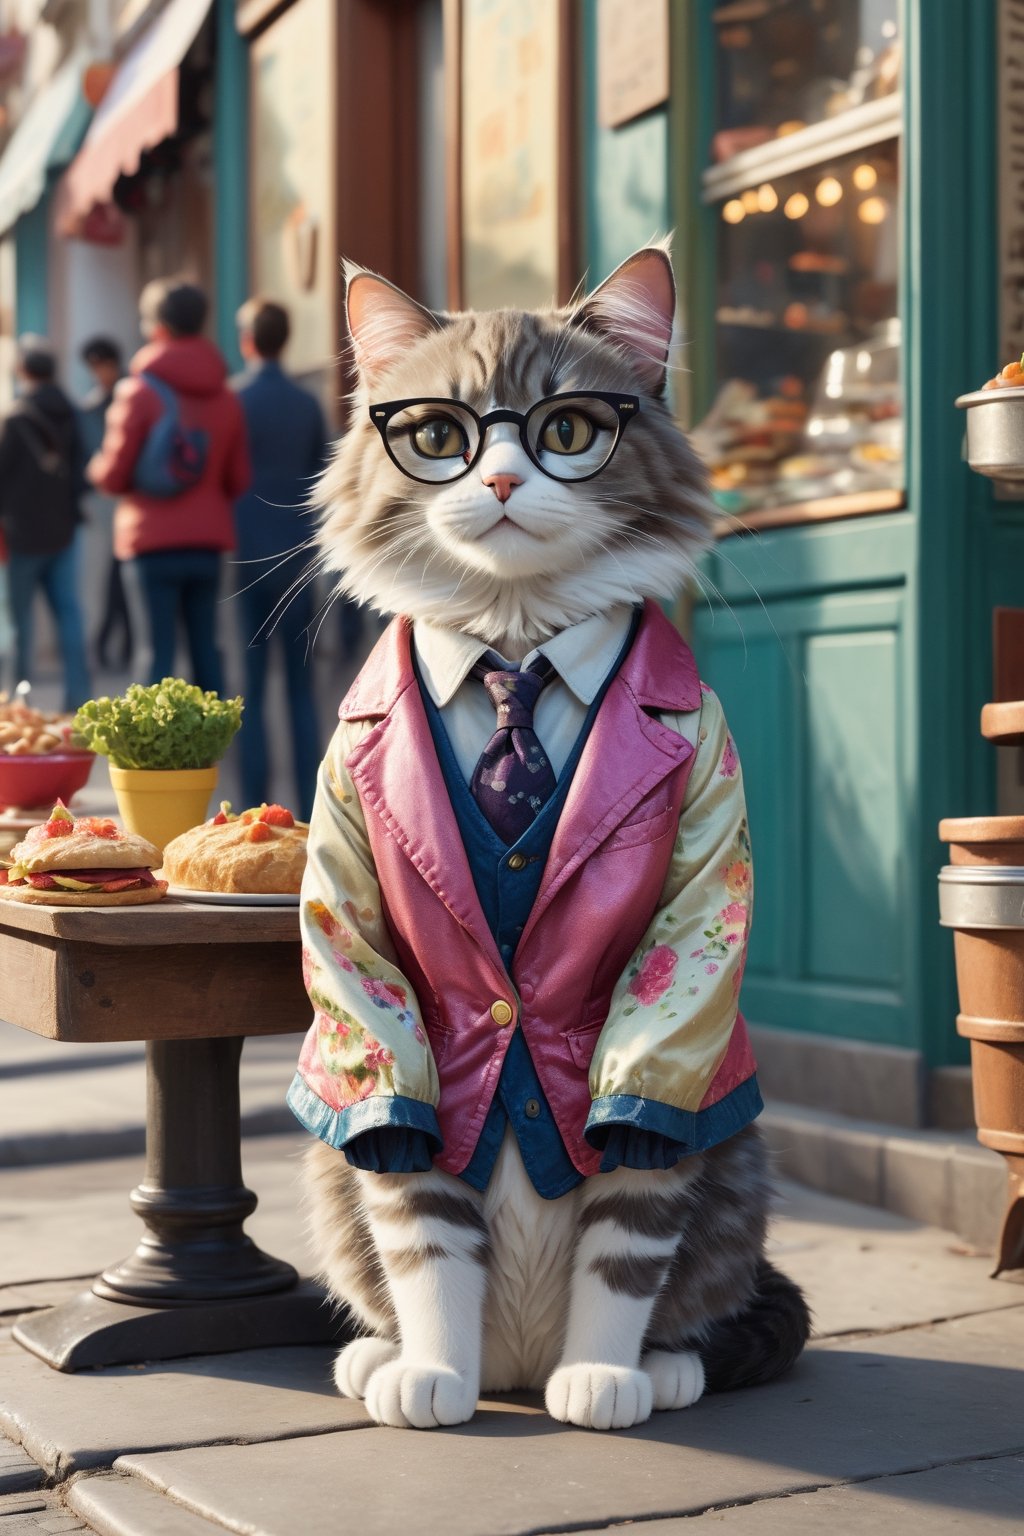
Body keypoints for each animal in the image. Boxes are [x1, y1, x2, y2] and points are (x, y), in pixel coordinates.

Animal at [288, 239, 810, 1425]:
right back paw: (388, 1361)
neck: (515, 643)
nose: (498, 480)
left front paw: (604, 1378)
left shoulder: (674, 971)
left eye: (566, 431)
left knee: (697, 1290)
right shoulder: (391, 986)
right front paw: (434, 1375)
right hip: (324, 1168)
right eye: (440, 436)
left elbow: (629, 1232)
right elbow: (424, 1231)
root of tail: (516, 1364)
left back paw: (652, 1370)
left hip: (739, 1160)